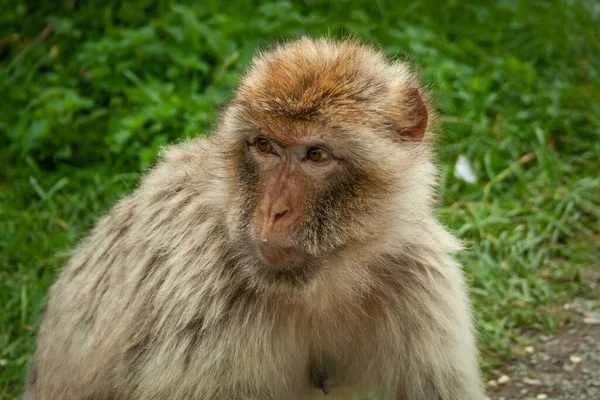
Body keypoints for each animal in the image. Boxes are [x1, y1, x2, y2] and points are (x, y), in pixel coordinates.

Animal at [24, 38, 488, 400]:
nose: (271, 210)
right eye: (265, 145)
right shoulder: (204, 302)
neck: (321, 284)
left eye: (316, 154)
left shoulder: (420, 281)